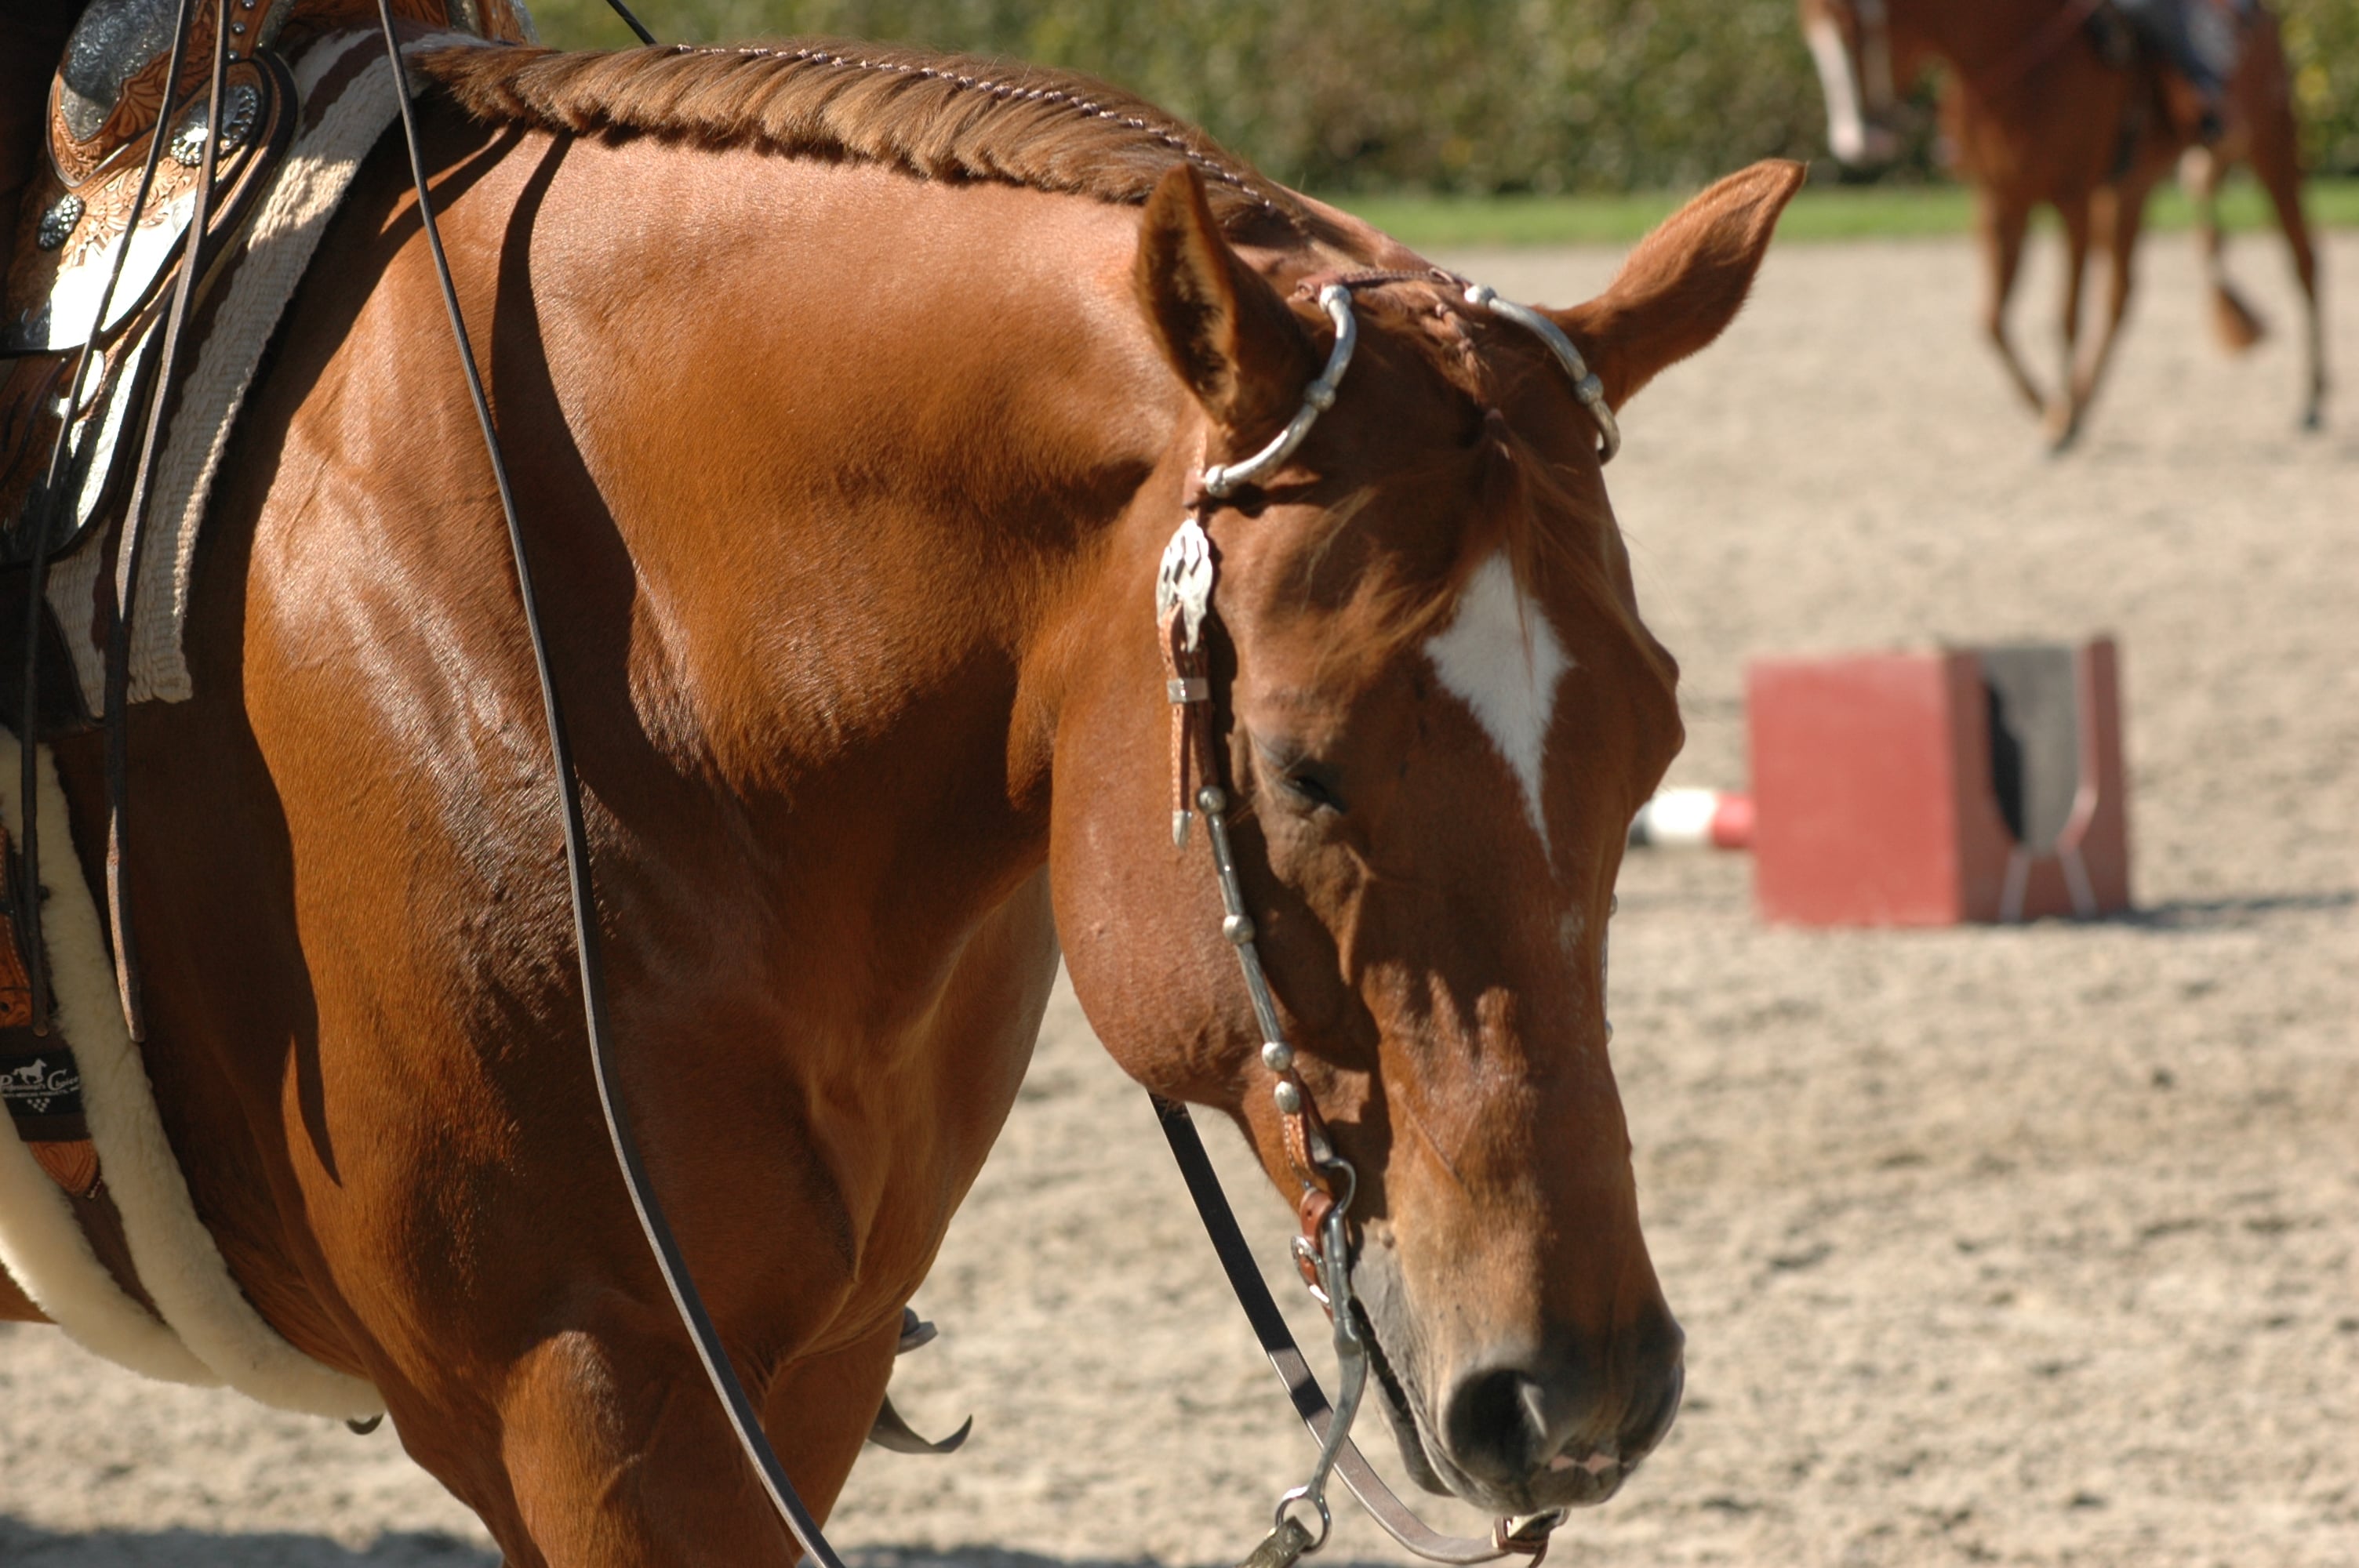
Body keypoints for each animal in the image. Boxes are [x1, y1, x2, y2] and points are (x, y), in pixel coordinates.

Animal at [1802, 0, 2321, 443]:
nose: (1856, 143)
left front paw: (2060, 417)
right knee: (2120, 297)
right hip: (2130, 190)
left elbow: (2067, 315)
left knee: (2304, 262)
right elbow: (1992, 320)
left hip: (2272, 144)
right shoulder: (2000, 202)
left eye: (1854, 30)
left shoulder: (2073, 200)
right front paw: (2048, 407)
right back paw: (2082, 401)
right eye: (1813, 39)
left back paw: (2314, 401)